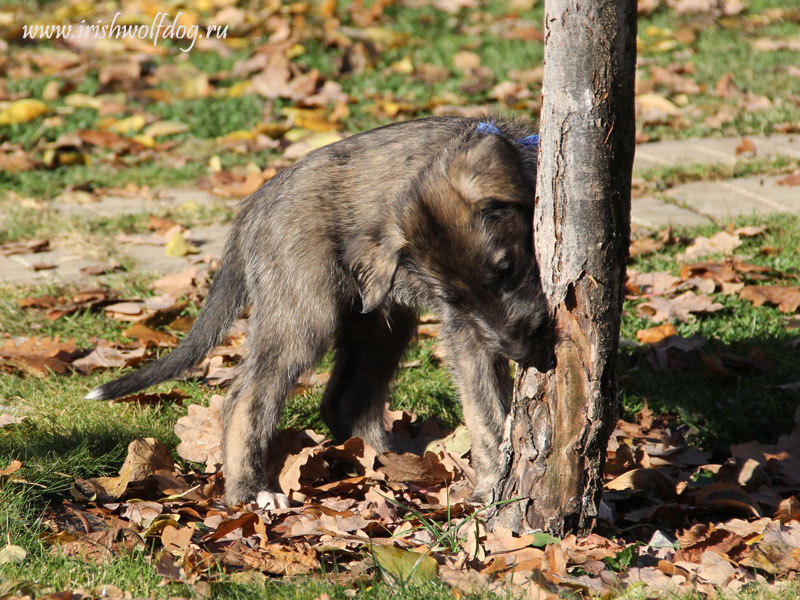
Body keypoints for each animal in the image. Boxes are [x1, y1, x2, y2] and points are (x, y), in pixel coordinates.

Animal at [90, 116, 548, 506]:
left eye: (506, 269)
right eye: (455, 299)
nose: (521, 352)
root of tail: (253, 207)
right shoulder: (466, 334)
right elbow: (486, 414)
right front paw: (493, 485)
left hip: (380, 321)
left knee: (345, 401)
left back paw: (392, 464)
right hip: (303, 314)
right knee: (243, 398)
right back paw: (250, 491)